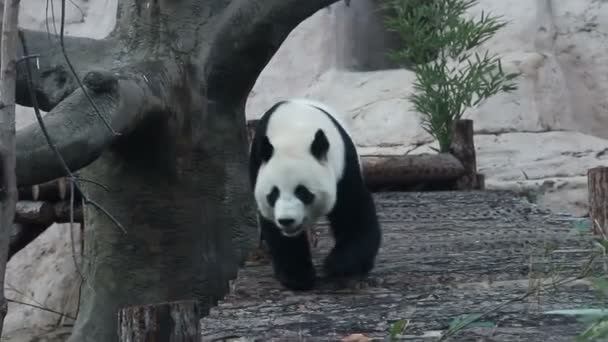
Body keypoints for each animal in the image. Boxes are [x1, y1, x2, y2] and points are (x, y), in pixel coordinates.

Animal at [247, 97, 380, 290]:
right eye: (273, 194)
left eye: (303, 192)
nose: (287, 220)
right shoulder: (258, 165)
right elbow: (275, 230)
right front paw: (297, 275)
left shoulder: (343, 165)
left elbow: (354, 213)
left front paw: (338, 265)